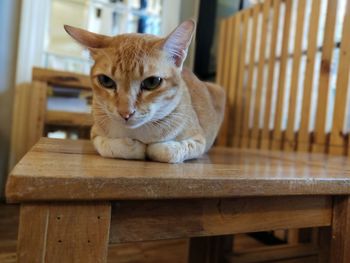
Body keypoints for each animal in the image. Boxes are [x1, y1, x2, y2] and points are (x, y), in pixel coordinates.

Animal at [64, 20, 226, 163]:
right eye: (106, 81)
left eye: (152, 82)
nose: (125, 113)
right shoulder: (95, 134)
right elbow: (108, 146)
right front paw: (134, 147)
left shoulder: (199, 140)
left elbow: (166, 151)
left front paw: (154, 148)